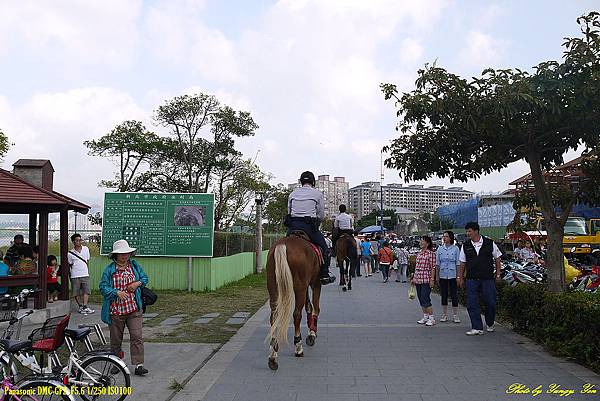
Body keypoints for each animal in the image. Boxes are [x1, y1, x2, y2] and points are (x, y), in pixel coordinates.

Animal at [266, 231, 322, 368]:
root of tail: (282, 246)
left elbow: (309, 306)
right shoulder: (315, 283)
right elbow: (315, 307)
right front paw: (312, 333)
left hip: (273, 286)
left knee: (274, 316)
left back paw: (273, 356)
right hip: (300, 286)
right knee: (296, 314)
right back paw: (298, 347)